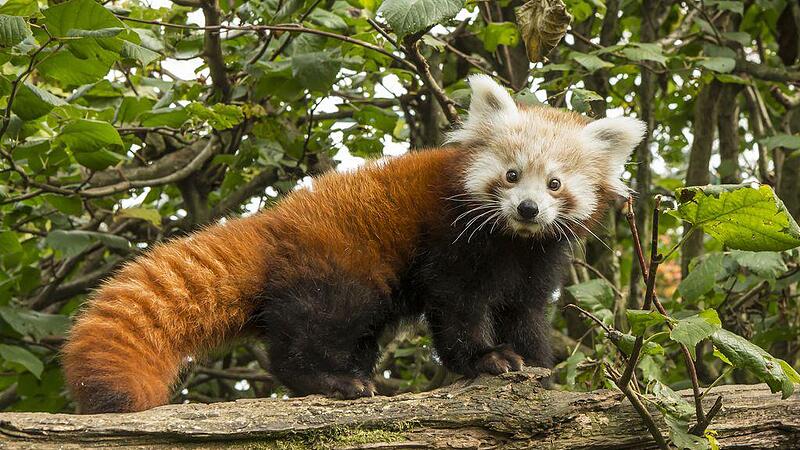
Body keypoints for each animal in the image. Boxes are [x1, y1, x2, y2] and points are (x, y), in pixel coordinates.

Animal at [64, 75, 648, 414]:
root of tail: (273, 222)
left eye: (554, 184)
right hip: (342, 270)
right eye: (510, 175)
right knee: (309, 333)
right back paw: (332, 382)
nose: (527, 209)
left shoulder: (537, 260)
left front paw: (540, 369)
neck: (511, 241)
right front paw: (488, 359)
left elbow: (525, 312)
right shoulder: (451, 243)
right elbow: (457, 310)